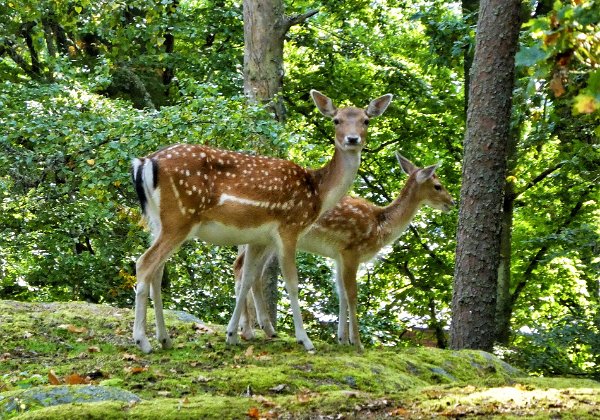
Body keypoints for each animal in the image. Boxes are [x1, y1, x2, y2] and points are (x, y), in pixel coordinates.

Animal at [131, 90, 394, 352]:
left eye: (365, 121)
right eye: (336, 120)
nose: (352, 139)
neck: (317, 193)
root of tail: (145, 162)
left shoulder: (259, 238)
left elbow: (247, 277)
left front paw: (233, 334)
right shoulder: (289, 227)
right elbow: (291, 283)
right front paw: (304, 339)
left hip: (157, 222)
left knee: (157, 270)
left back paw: (165, 338)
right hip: (180, 217)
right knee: (144, 263)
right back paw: (143, 340)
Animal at [234, 153, 454, 350]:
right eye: (438, 186)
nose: (451, 202)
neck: (380, 226)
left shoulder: (338, 255)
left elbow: (340, 293)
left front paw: (342, 339)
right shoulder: (352, 251)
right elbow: (352, 294)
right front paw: (357, 342)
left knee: (248, 271)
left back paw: (260, 329)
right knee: (244, 269)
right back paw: (248, 330)